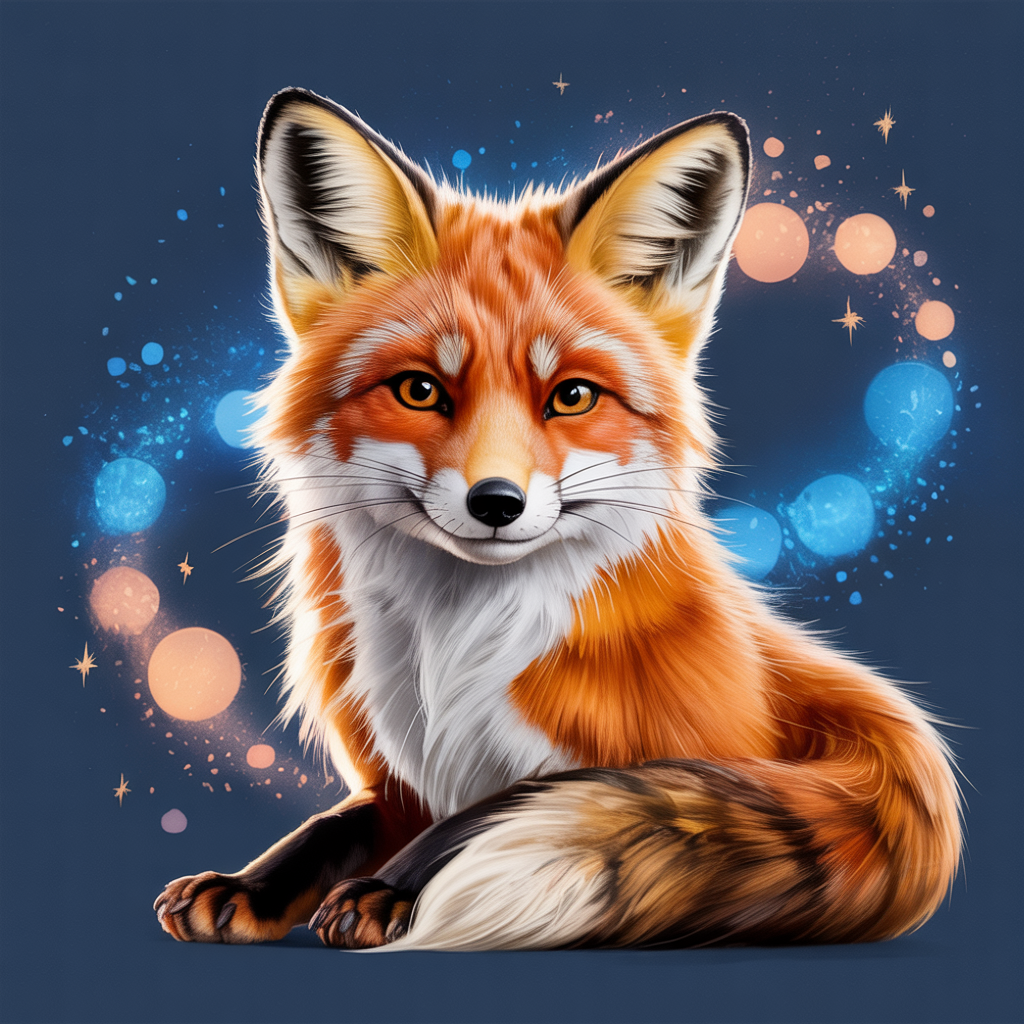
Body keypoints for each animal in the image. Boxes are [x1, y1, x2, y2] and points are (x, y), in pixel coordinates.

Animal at [154, 87, 960, 950]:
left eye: (571, 395)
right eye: (419, 390)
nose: (496, 503)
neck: (459, 651)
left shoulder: (702, 752)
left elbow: (499, 809)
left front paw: (392, 889)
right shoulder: (400, 780)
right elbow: (333, 825)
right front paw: (251, 884)